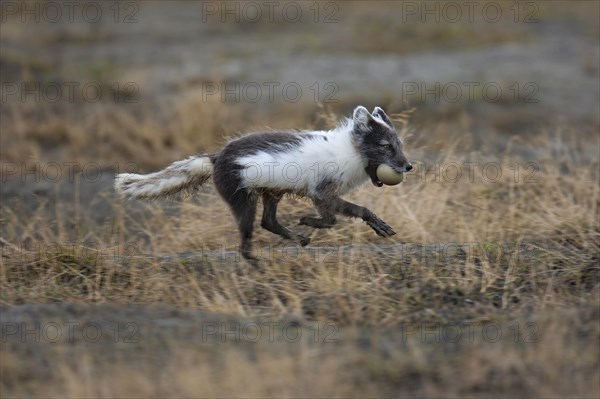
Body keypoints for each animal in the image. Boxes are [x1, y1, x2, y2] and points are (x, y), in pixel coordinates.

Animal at [113, 106, 412, 262]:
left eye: (399, 144)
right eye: (385, 146)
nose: (408, 166)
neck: (348, 152)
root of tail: (217, 157)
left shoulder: (321, 194)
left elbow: (334, 217)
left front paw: (308, 224)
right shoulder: (321, 192)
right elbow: (341, 215)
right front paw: (309, 220)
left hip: (271, 191)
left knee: (268, 221)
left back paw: (299, 239)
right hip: (242, 197)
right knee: (248, 232)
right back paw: (254, 258)